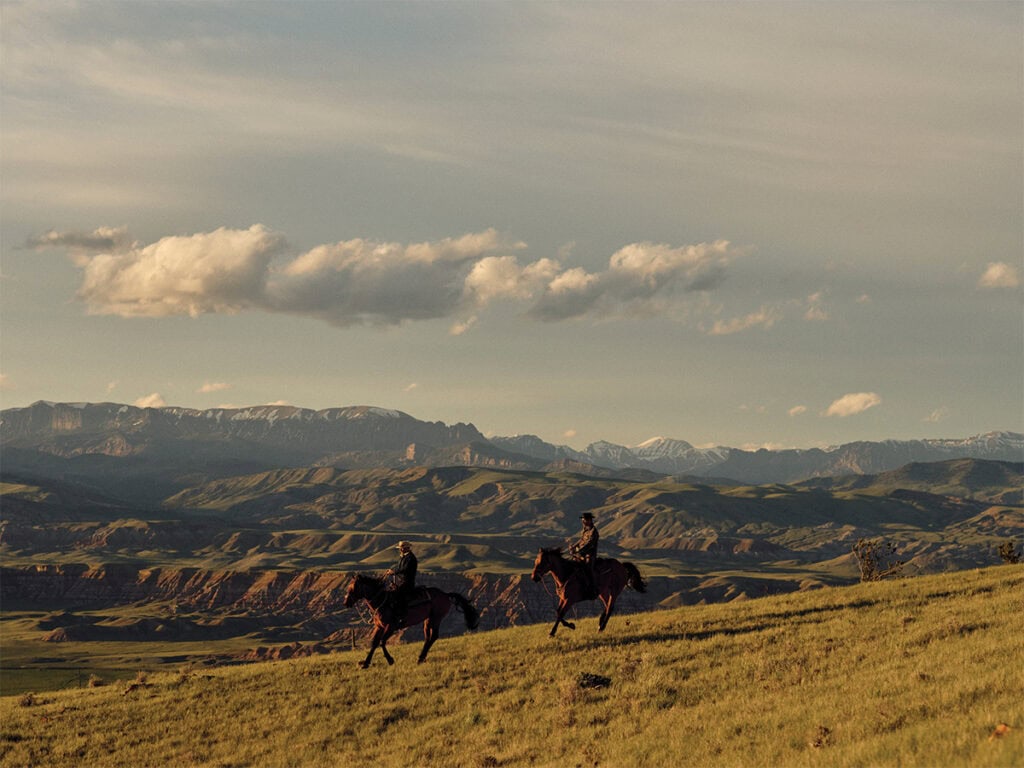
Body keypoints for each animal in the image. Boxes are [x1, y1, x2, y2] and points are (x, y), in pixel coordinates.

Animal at [339, 573, 475, 671]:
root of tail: (445, 594)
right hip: (427, 620)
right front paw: (366, 663)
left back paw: (421, 658)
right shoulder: (379, 626)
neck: (382, 601)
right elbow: (374, 643)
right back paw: (421, 657)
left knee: (434, 636)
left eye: (353, 588)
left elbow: (382, 642)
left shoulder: (391, 626)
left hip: (436, 618)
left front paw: (390, 660)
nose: (346, 603)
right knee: (428, 637)